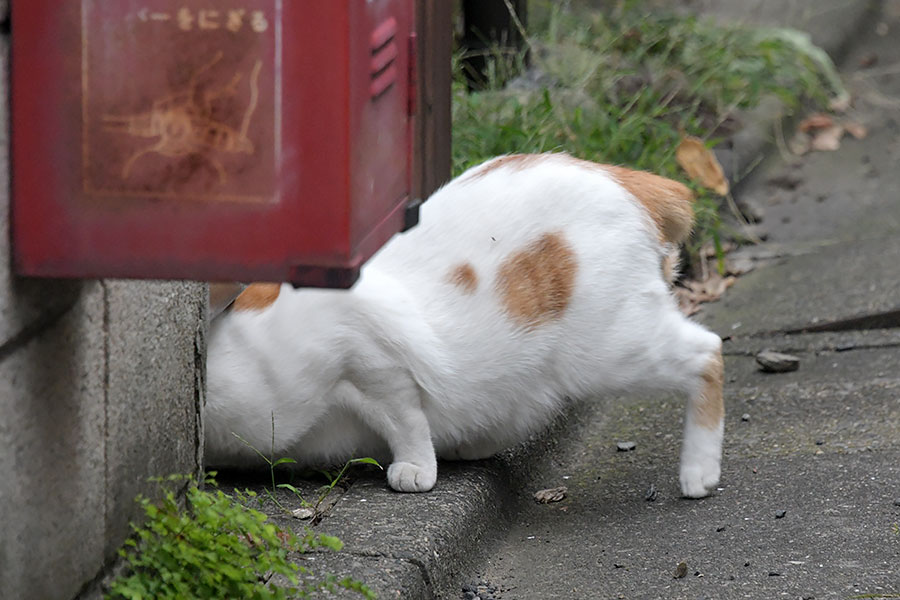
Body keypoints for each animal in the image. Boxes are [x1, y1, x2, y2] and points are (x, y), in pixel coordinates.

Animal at [206, 151, 724, 496]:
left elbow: (405, 418)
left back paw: (699, 474)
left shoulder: (370, 356)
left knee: (709, 352)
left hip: (608, 350)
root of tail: (619, 175)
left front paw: (415, 469)